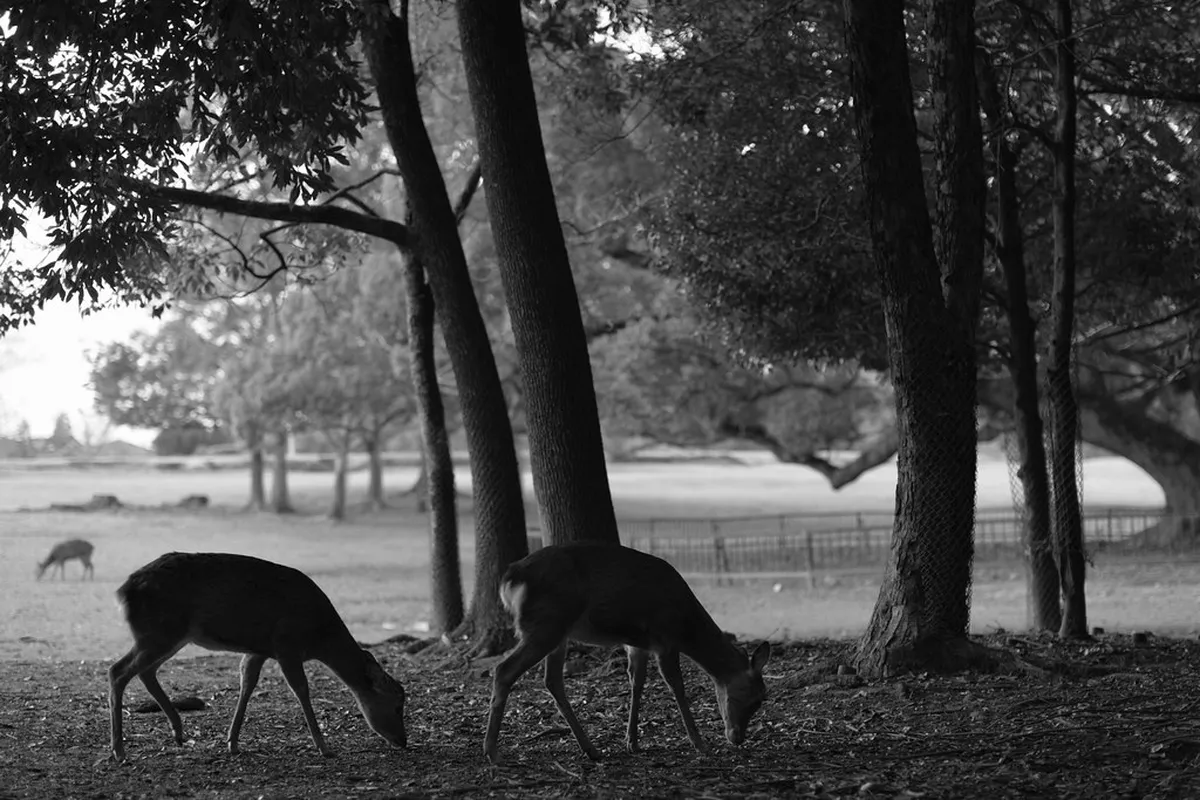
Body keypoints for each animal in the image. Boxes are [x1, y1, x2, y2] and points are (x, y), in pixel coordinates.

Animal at [107, 552, 407, 761]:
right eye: (397, 705)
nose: (403, 741)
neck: (319, 636)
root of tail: (122, 591)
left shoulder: (259, 651)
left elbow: (247, 684)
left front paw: (233, 743)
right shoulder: (286, 645)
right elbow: (301, 689)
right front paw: (325, 748)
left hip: (168, 636)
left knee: (144, 671)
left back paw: (178, 732)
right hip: (160, 632)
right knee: (117, 671)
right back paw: (119, 751)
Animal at [483, 541, 770, 764]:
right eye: (756, 698)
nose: (737, 737)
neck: (686, 625)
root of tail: (510, 577)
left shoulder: (638, 644)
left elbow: (637, 683)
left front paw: (632, 741)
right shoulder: (664, 638)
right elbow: (677, 686)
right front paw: (700, 743)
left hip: (557, 633)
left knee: (552, 680)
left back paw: (591, 749)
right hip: (546, 624)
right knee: (504, 669)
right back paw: (492, 752)